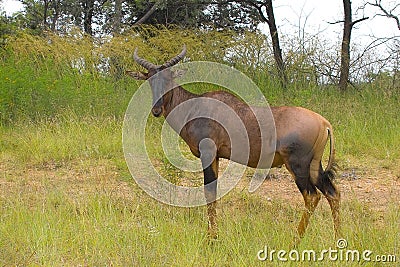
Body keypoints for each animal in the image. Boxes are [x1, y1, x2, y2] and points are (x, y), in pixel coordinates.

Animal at [128, 46, 340, 243]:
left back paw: (294, 241)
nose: (156, 110)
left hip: (298, 165)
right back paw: (338, 239)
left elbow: (209, 192)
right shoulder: (216, 157)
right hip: (314, 166)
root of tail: (324, 123)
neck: (196, 105)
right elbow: (212, 193)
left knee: (312, 196)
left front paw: (211, 238)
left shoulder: (208, 153)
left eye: (169, 79)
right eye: (149, 79)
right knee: (332, 193)